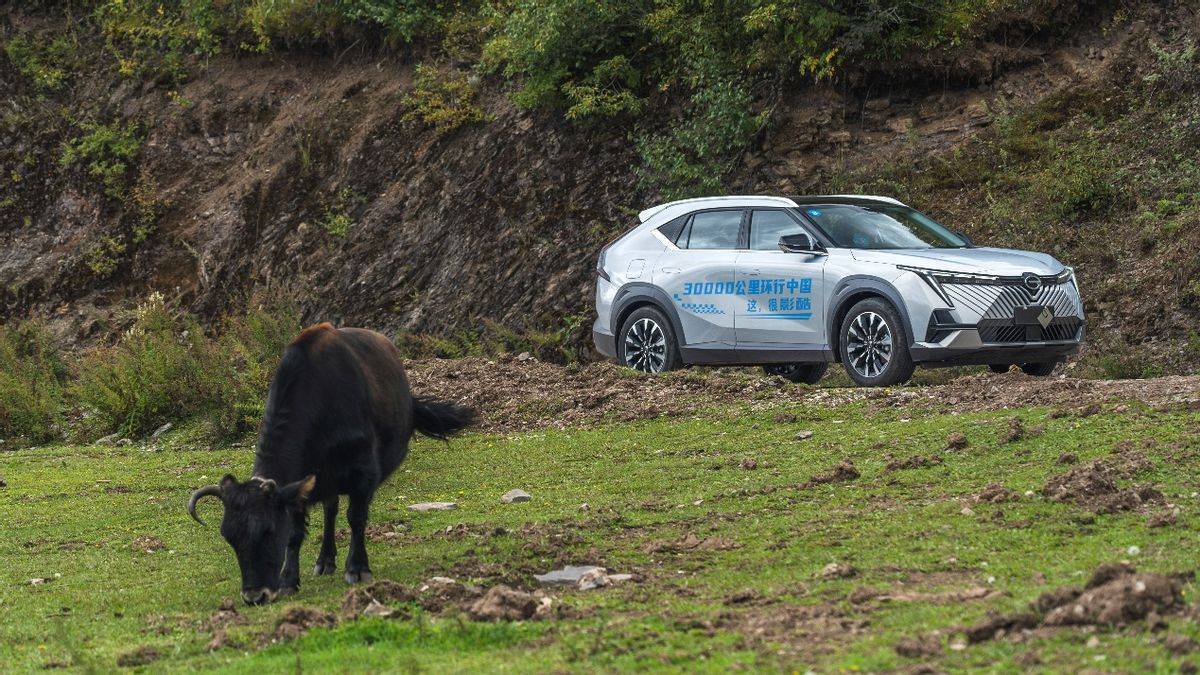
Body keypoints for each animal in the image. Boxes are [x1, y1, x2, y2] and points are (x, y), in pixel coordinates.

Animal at [186, 321, 468, 605]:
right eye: (229, 536)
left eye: (268, 530)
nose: (255, 595)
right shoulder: (299, 488)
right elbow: (295, 533)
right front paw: (289, 581)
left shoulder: (363, 475)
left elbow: (356, 518)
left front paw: (357, 569)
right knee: (330, 511)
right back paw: (325, 561)